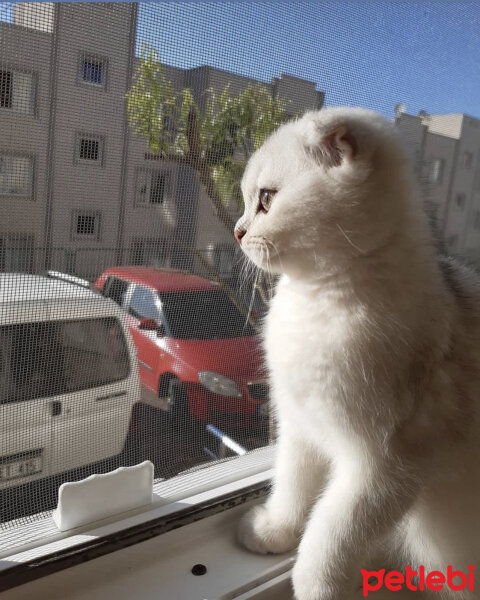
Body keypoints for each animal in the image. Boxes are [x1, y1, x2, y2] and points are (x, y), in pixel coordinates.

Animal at [235, 108, 480, 600]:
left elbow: (329, 539)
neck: (317, 303)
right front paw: (275, 529)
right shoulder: (298, 426)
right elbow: (291, 486)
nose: (237, 231)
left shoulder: (383, 468)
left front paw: (317, 589)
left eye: (266, 199)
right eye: (248, 201)